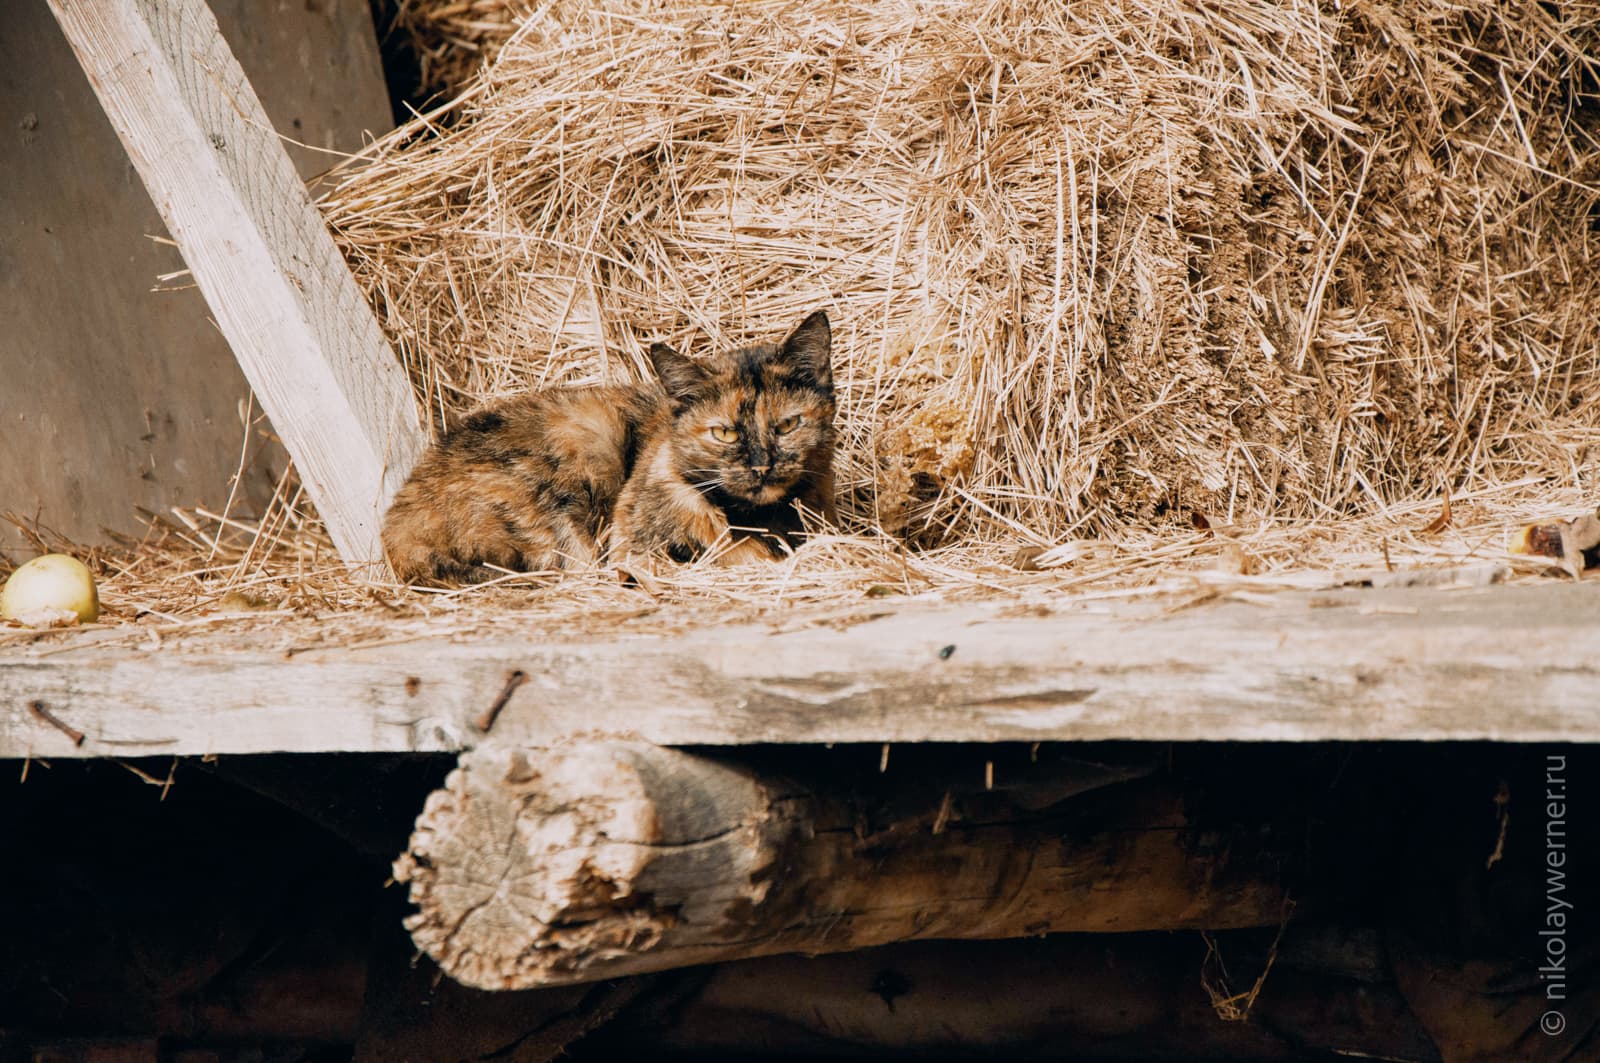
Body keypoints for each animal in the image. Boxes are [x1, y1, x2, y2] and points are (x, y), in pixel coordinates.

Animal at [384, 312, 838, 585]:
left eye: (787, 425)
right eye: (724, 433)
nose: (762, 467)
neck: (761, 517)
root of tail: (396, 523)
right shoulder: (630, 547)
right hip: (587, 446)